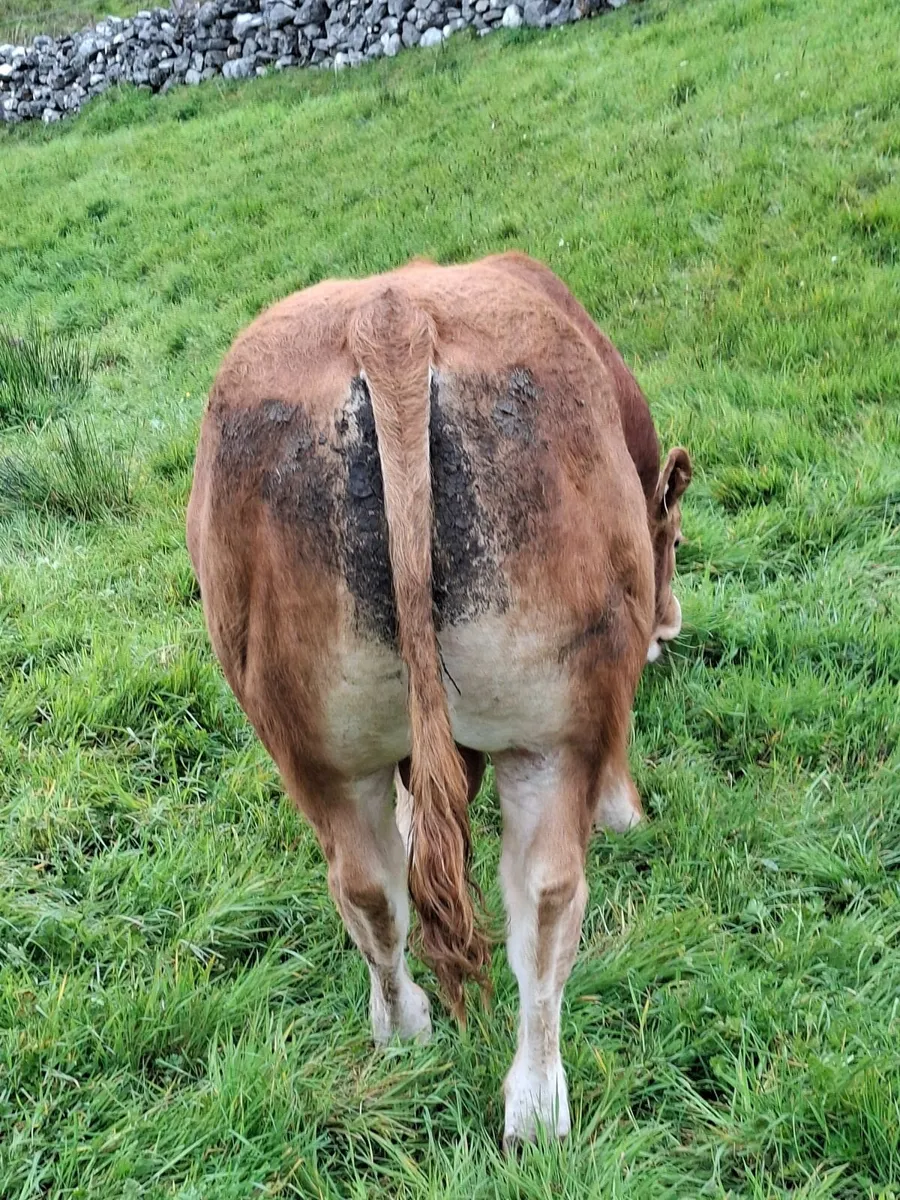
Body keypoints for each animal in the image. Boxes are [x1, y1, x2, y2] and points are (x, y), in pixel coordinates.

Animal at [186, 252, 691, 1147]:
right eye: (673, 539)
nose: (671, 624)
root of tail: (391, 318)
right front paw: (628, 813)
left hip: (316, 743)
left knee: (367, 887)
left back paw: (404, 1030)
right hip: (559, 727)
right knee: (547, 900)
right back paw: (537, 1105)